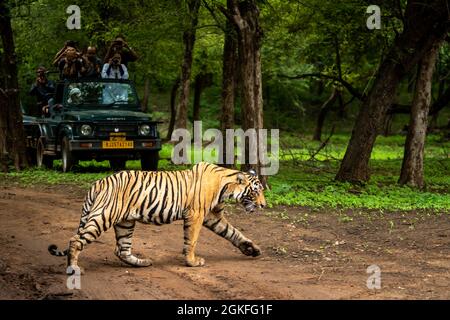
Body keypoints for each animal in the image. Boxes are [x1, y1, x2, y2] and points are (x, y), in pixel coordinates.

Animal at [48, 161, 268, 272]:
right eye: (256, 191)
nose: (264, 205)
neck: (225, 186)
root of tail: (98, 183)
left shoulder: (212, 216)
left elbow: (234, 233)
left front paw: (252, 249)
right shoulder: (196, 215)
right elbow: (192, 241)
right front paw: (192, 262)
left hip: (125, 222)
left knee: (122, 249)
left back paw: (142, 263)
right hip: (103, 216)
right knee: (75, 240)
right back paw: (73, 268)